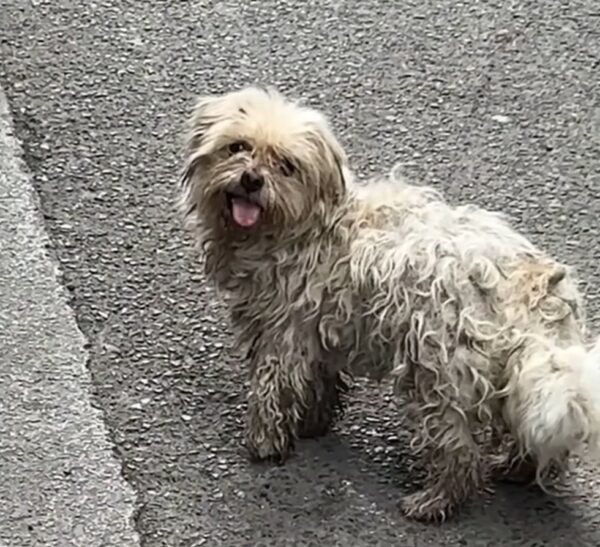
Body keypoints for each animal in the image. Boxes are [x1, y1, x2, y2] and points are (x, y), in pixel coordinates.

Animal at [178, 85, 600, 524]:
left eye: (286, 165)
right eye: (237, 147)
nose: (251, 179)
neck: (304, 225)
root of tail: (535, 287)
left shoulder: (283, 332)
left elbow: (273, 389)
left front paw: (265, 442)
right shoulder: (318, 330)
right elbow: (319, 383)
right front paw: (312, 424)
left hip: (436, 371)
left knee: (459, 450)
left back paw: (434, 501)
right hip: (505, 372)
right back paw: (516, 469)